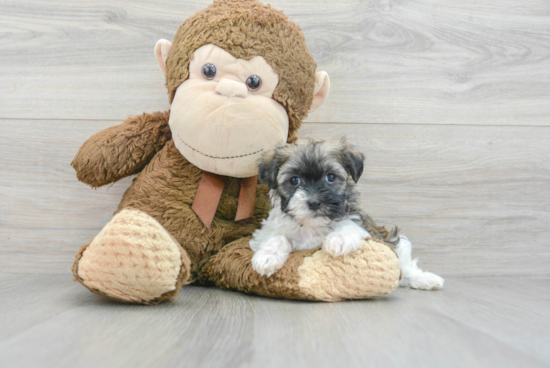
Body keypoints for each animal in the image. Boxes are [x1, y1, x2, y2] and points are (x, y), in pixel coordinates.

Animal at [249, 138, 444, 290]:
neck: (313, 225)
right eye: (294, 180)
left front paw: (339, 240)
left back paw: (425, 279)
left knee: (405, 268)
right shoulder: (266, 231)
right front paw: (267, 258)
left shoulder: (361, 224)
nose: (314, 202)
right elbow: (276, 237)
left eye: (330, 177)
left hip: (397, 243)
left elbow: (348, 225)